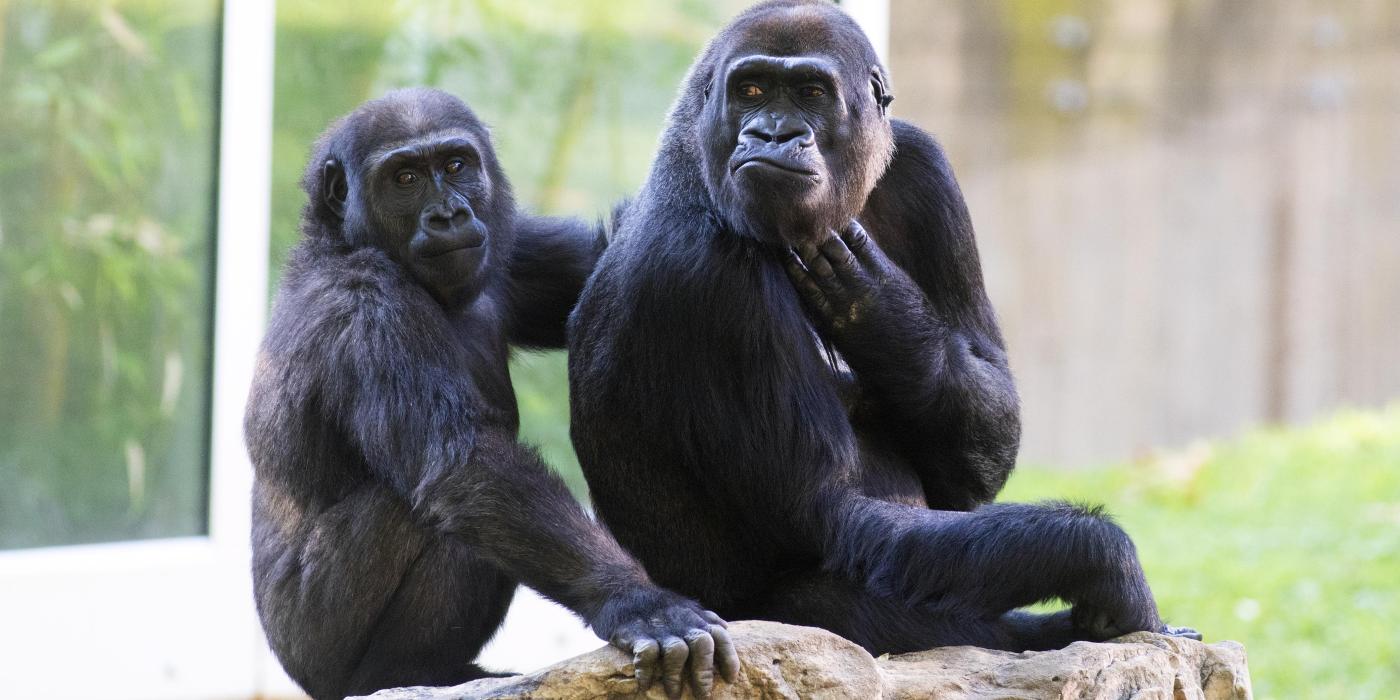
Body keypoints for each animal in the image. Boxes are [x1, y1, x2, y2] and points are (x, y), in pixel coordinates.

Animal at [245, 88, 739, 700]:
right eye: (404, 178)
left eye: (456, 165)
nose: (448, 214)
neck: (346, 241)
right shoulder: (368, 308)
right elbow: (465, 464)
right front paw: (638, 602)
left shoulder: (515, 247)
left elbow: (609, 256)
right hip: (317, 651)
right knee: (424, 513)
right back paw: (407, 674)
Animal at [562, 1, 1198, 655]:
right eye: (752, 89)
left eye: (811, 92)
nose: (773, 133)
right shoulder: (704, 271)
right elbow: (834, 515)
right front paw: (1096, 557)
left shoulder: (923, 165)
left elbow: (979, 442)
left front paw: (877, 307)